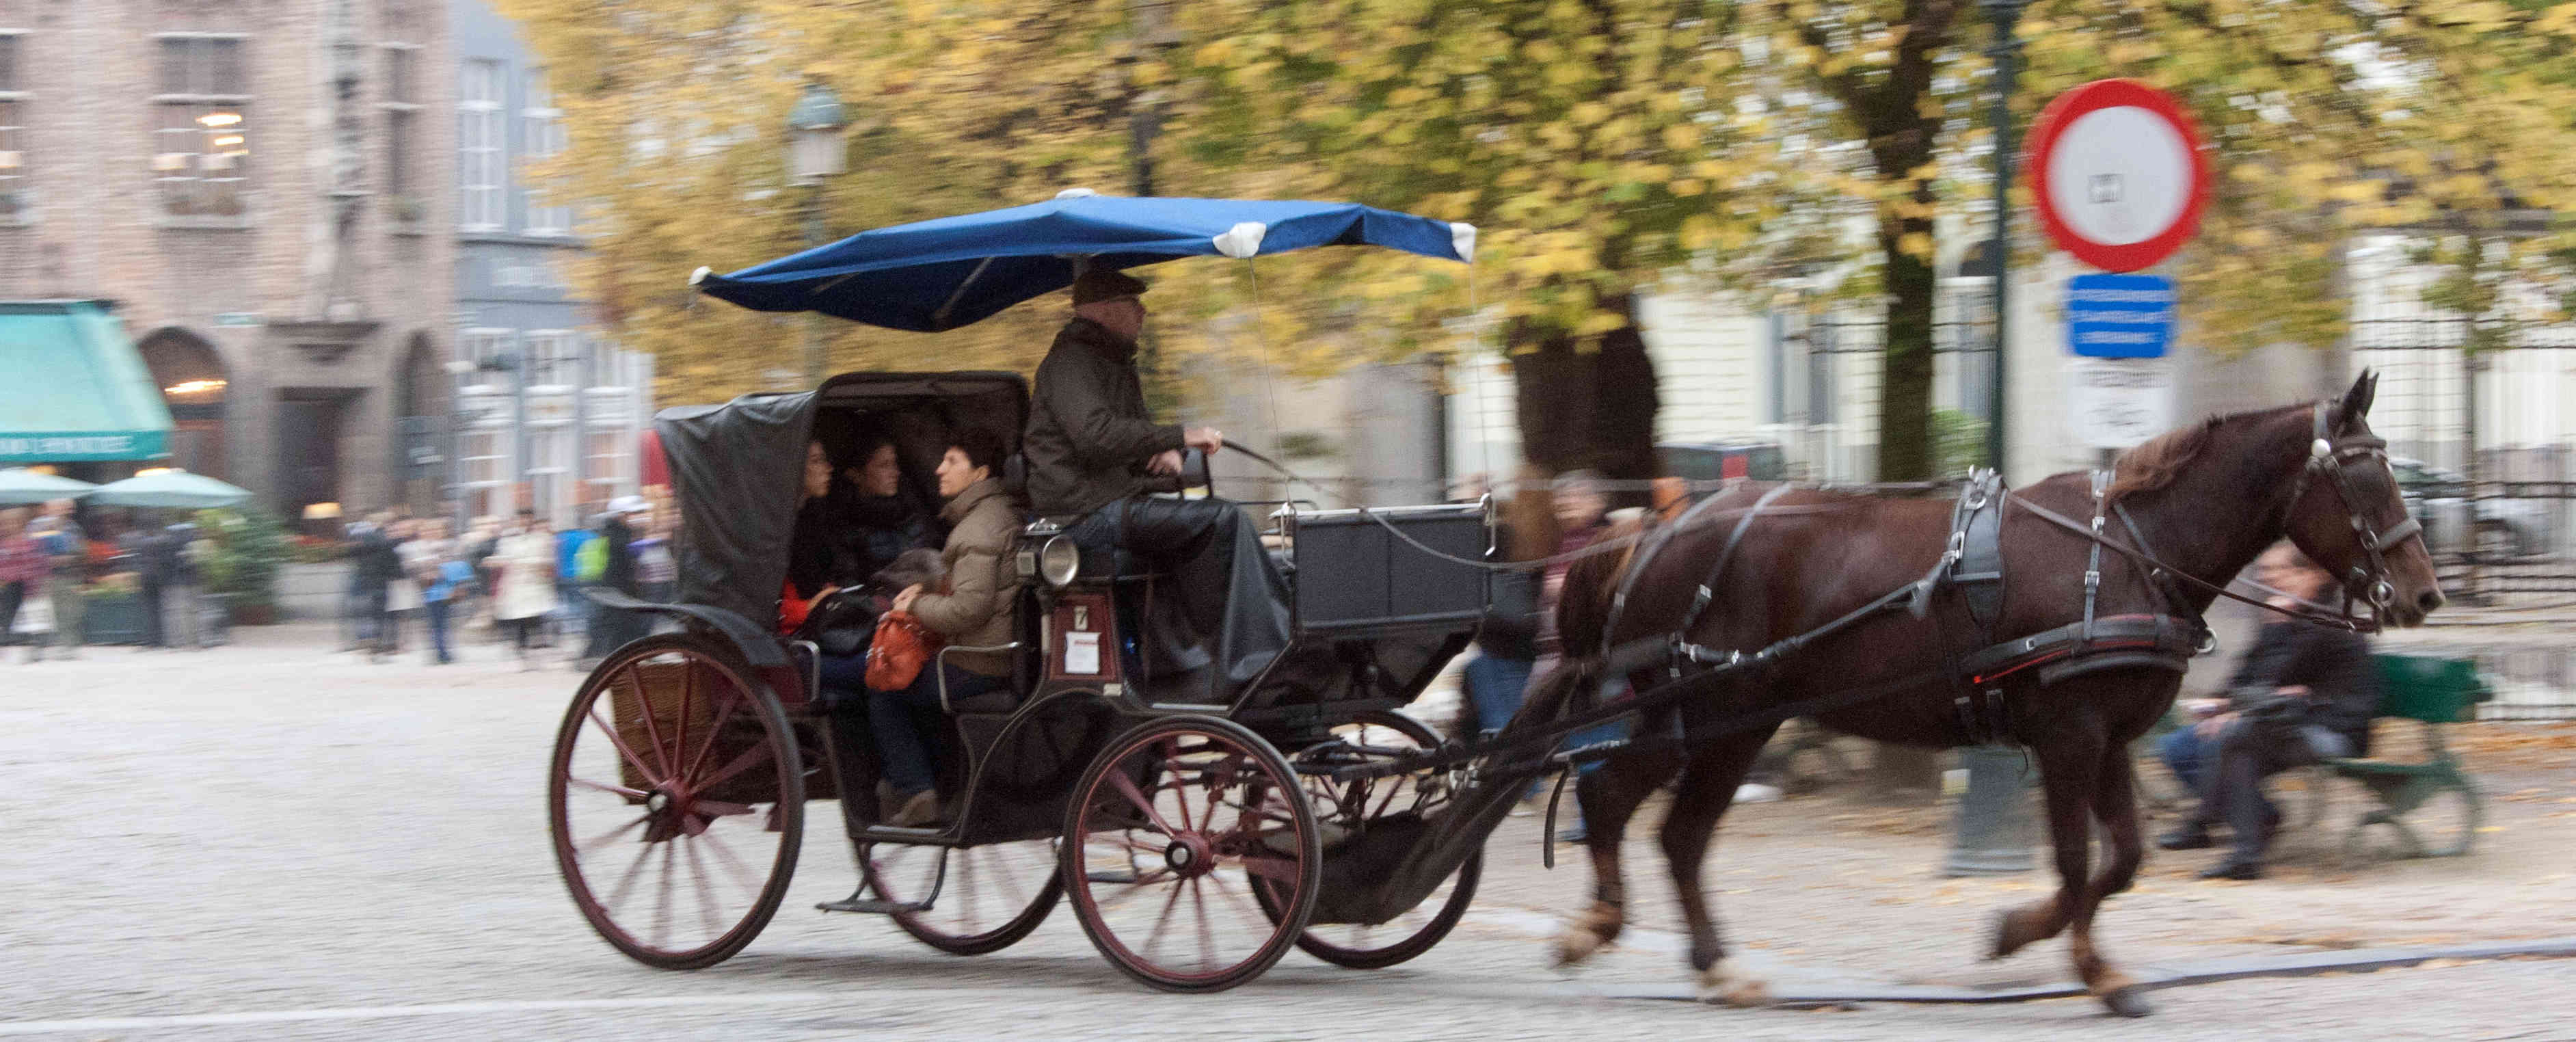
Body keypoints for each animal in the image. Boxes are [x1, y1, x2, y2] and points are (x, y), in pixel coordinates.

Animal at [1525, 373, 2431, 1016]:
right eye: (2366, 480)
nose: (2425, 593)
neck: (2127, 552)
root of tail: (1651, 530)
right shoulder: (2069, 735)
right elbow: (2076, 864)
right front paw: (2025, 939)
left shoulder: (2110, 739)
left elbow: (2123, 859)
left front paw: (2097, 971)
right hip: (1707, 717)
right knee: (1623, 806)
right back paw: (1606, 931)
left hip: (1733, 723)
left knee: (1666, 829)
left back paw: (1705, 966)